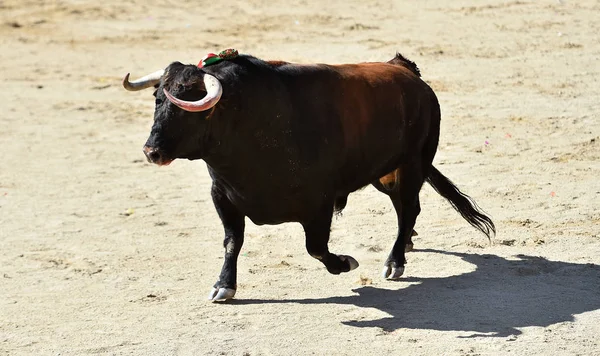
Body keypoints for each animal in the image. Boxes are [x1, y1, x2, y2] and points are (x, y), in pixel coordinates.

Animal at [123, 52, 496, 302]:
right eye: (157, 99)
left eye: (191, 106)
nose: (151, 151)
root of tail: (407, 71)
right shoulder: (223, 196)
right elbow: (232, 241)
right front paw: (223, 286)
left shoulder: (319, 203)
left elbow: (316, 247)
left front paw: (345, 262)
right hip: (386, 173)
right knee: (404, 210)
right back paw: (404, 245)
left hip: (414, 163)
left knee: (409, 209)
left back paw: (394, 262)